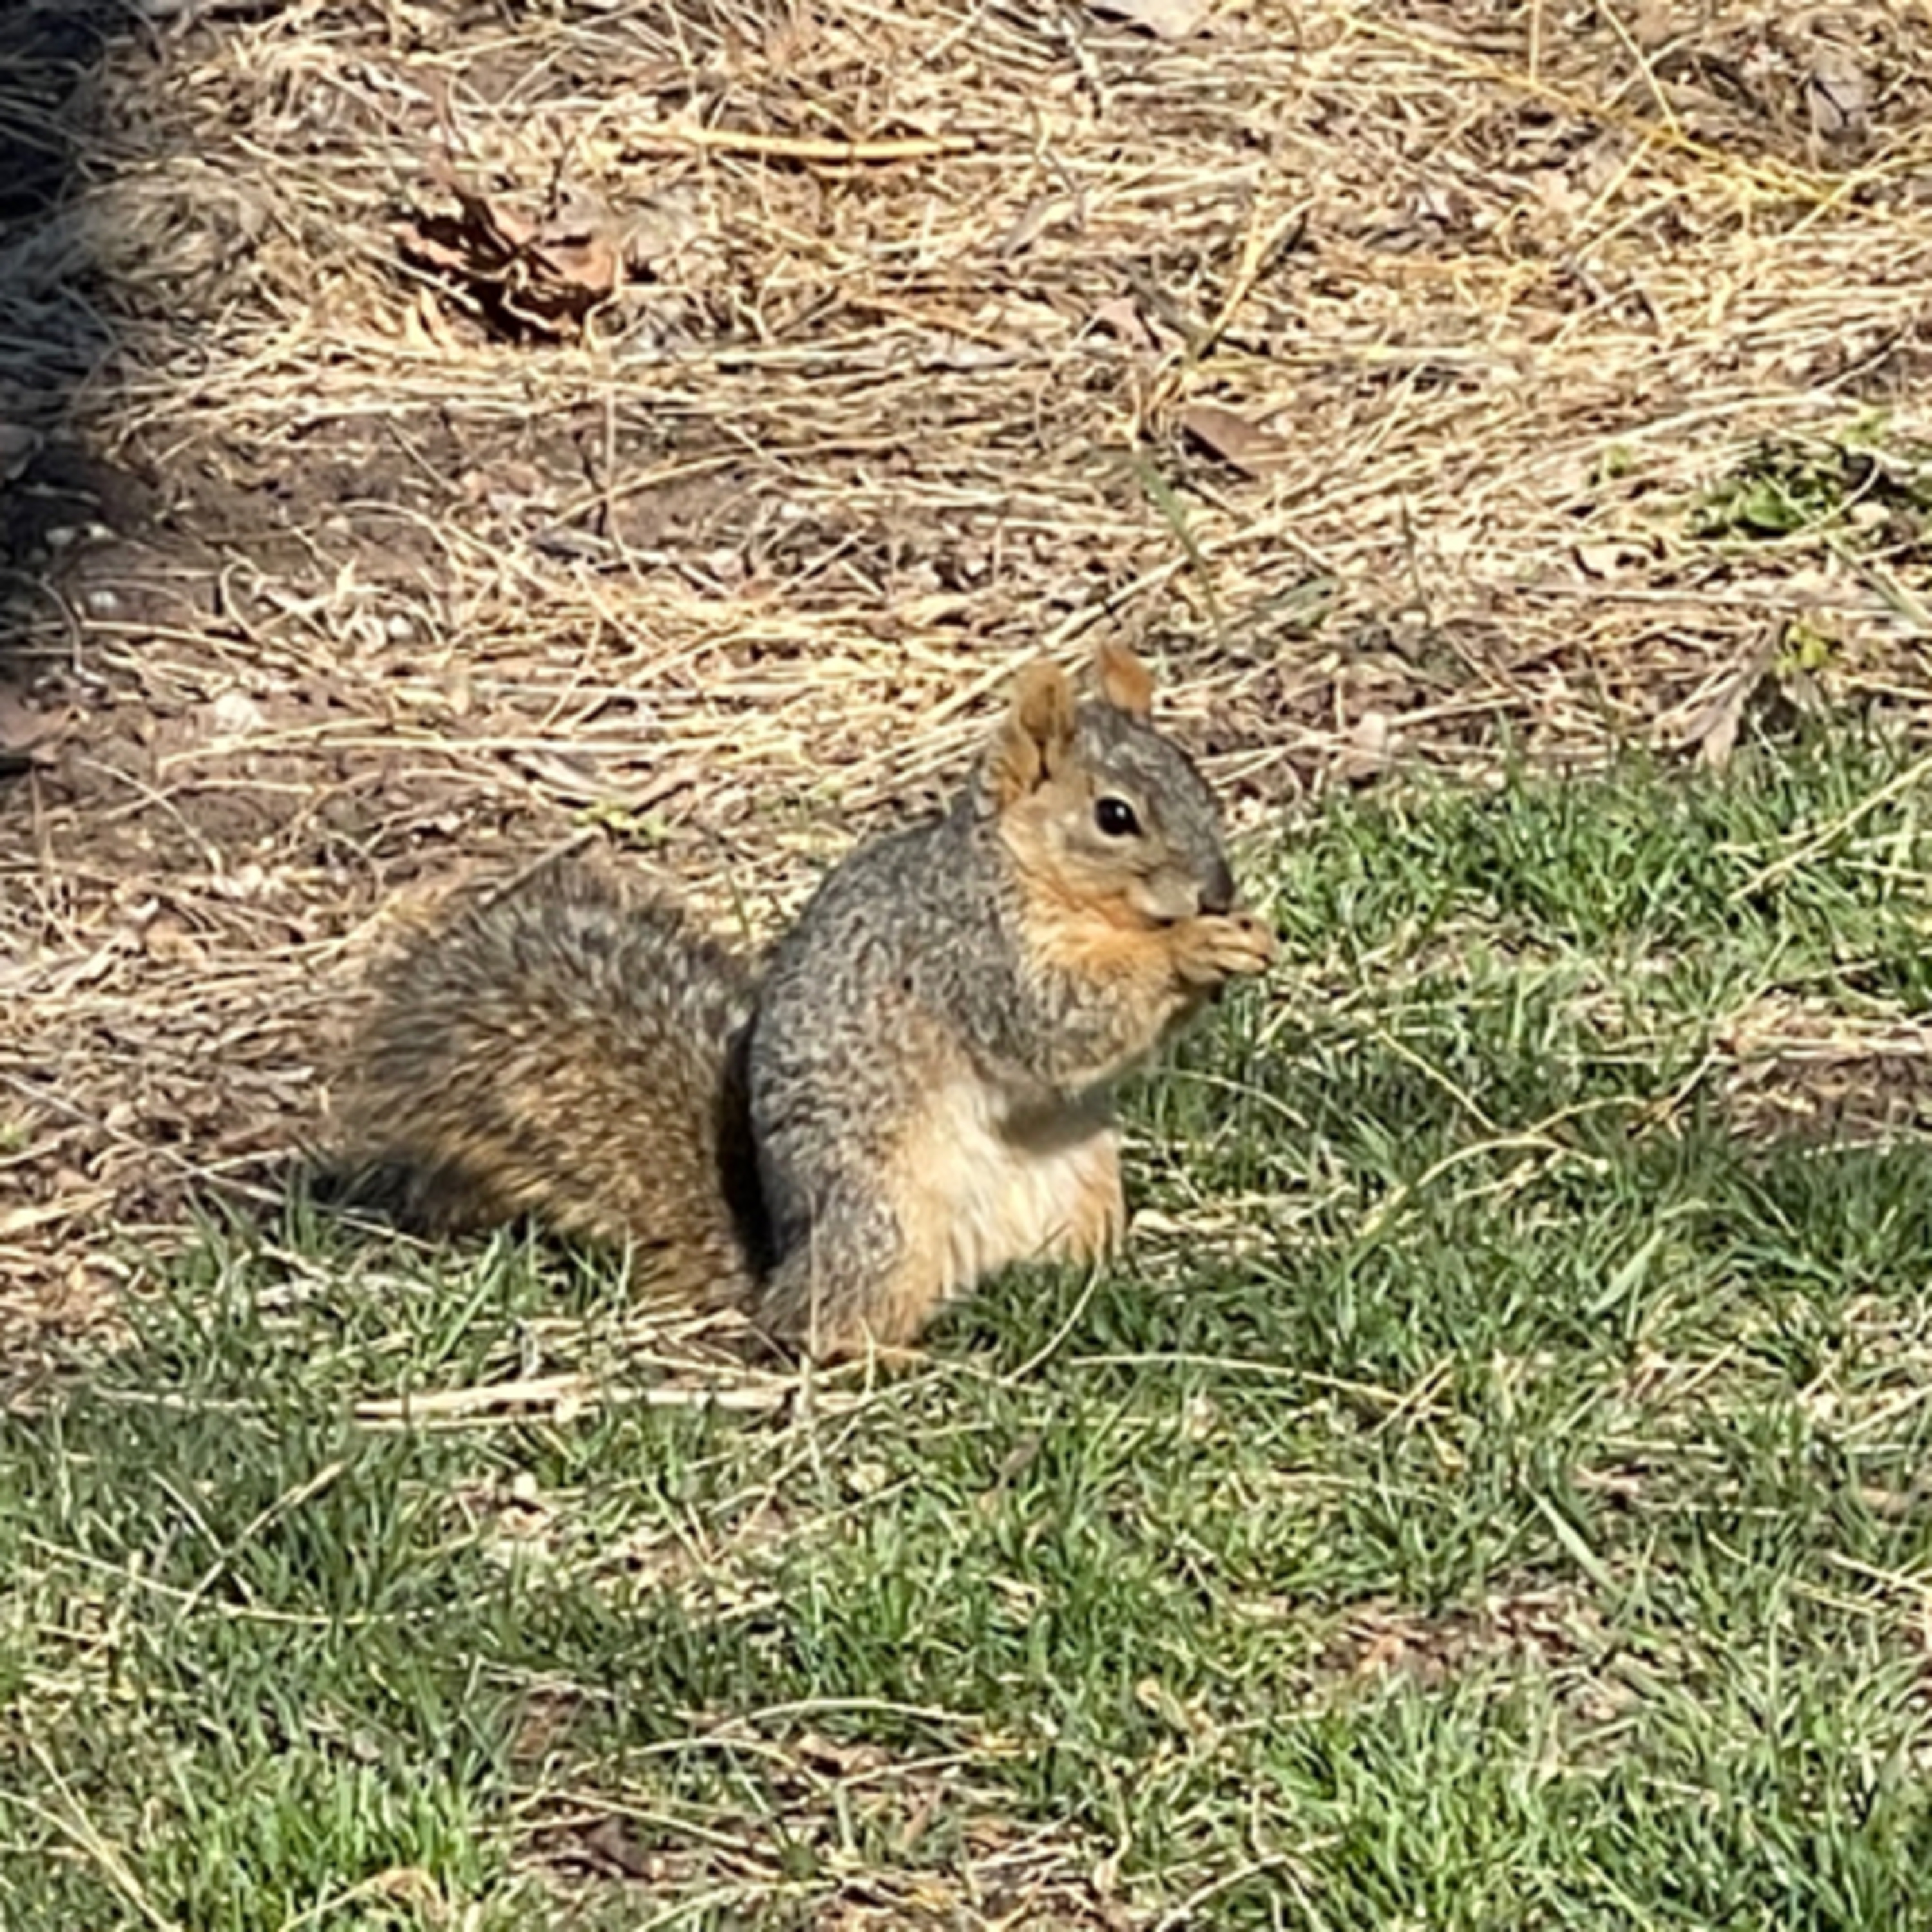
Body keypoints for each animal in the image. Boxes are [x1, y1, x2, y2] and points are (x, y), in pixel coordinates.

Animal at [334, 644, 1276, 1358]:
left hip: (1084, 1194)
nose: (1219, 890)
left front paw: (1246, 938)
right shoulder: (973, 955)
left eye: (1200, 784)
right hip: (886, 1222)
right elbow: (1059, 1021)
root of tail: (778, 1272)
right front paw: (1191, 948)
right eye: (1115, 817)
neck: (1035, 879)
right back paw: (894, 1359)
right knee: (817, 1332)